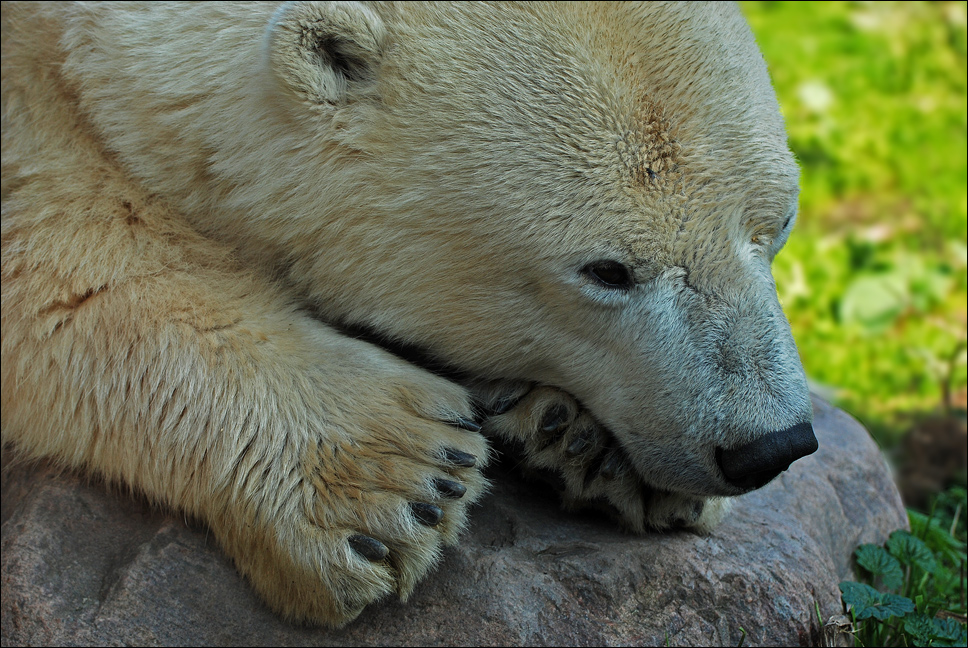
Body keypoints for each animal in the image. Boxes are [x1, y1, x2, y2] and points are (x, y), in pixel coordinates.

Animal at [0, 0, 816, 628]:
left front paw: (582, 442)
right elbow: (55, 263)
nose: (768, 446)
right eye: (607, 271)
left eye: (777, 223)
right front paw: (391, 476)